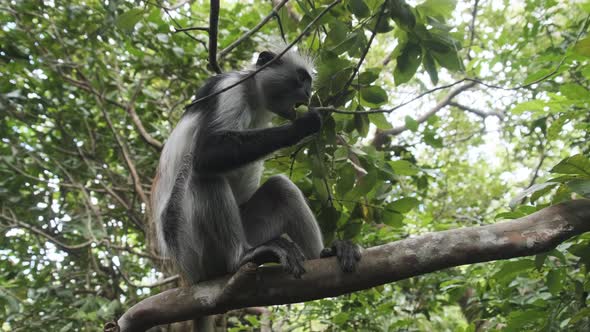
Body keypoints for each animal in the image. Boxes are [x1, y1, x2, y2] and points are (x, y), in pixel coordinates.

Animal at [153, 48, 364, 292]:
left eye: (309, 82)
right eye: (302, 78)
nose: (308, 92)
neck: (253, 96)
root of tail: (186, 273)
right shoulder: (229, 87)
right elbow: (207, 153)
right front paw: (302, 126)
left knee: (281, 188)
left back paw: (325, 254)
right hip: (193, 250)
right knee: (202, 173)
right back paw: (241, 256)